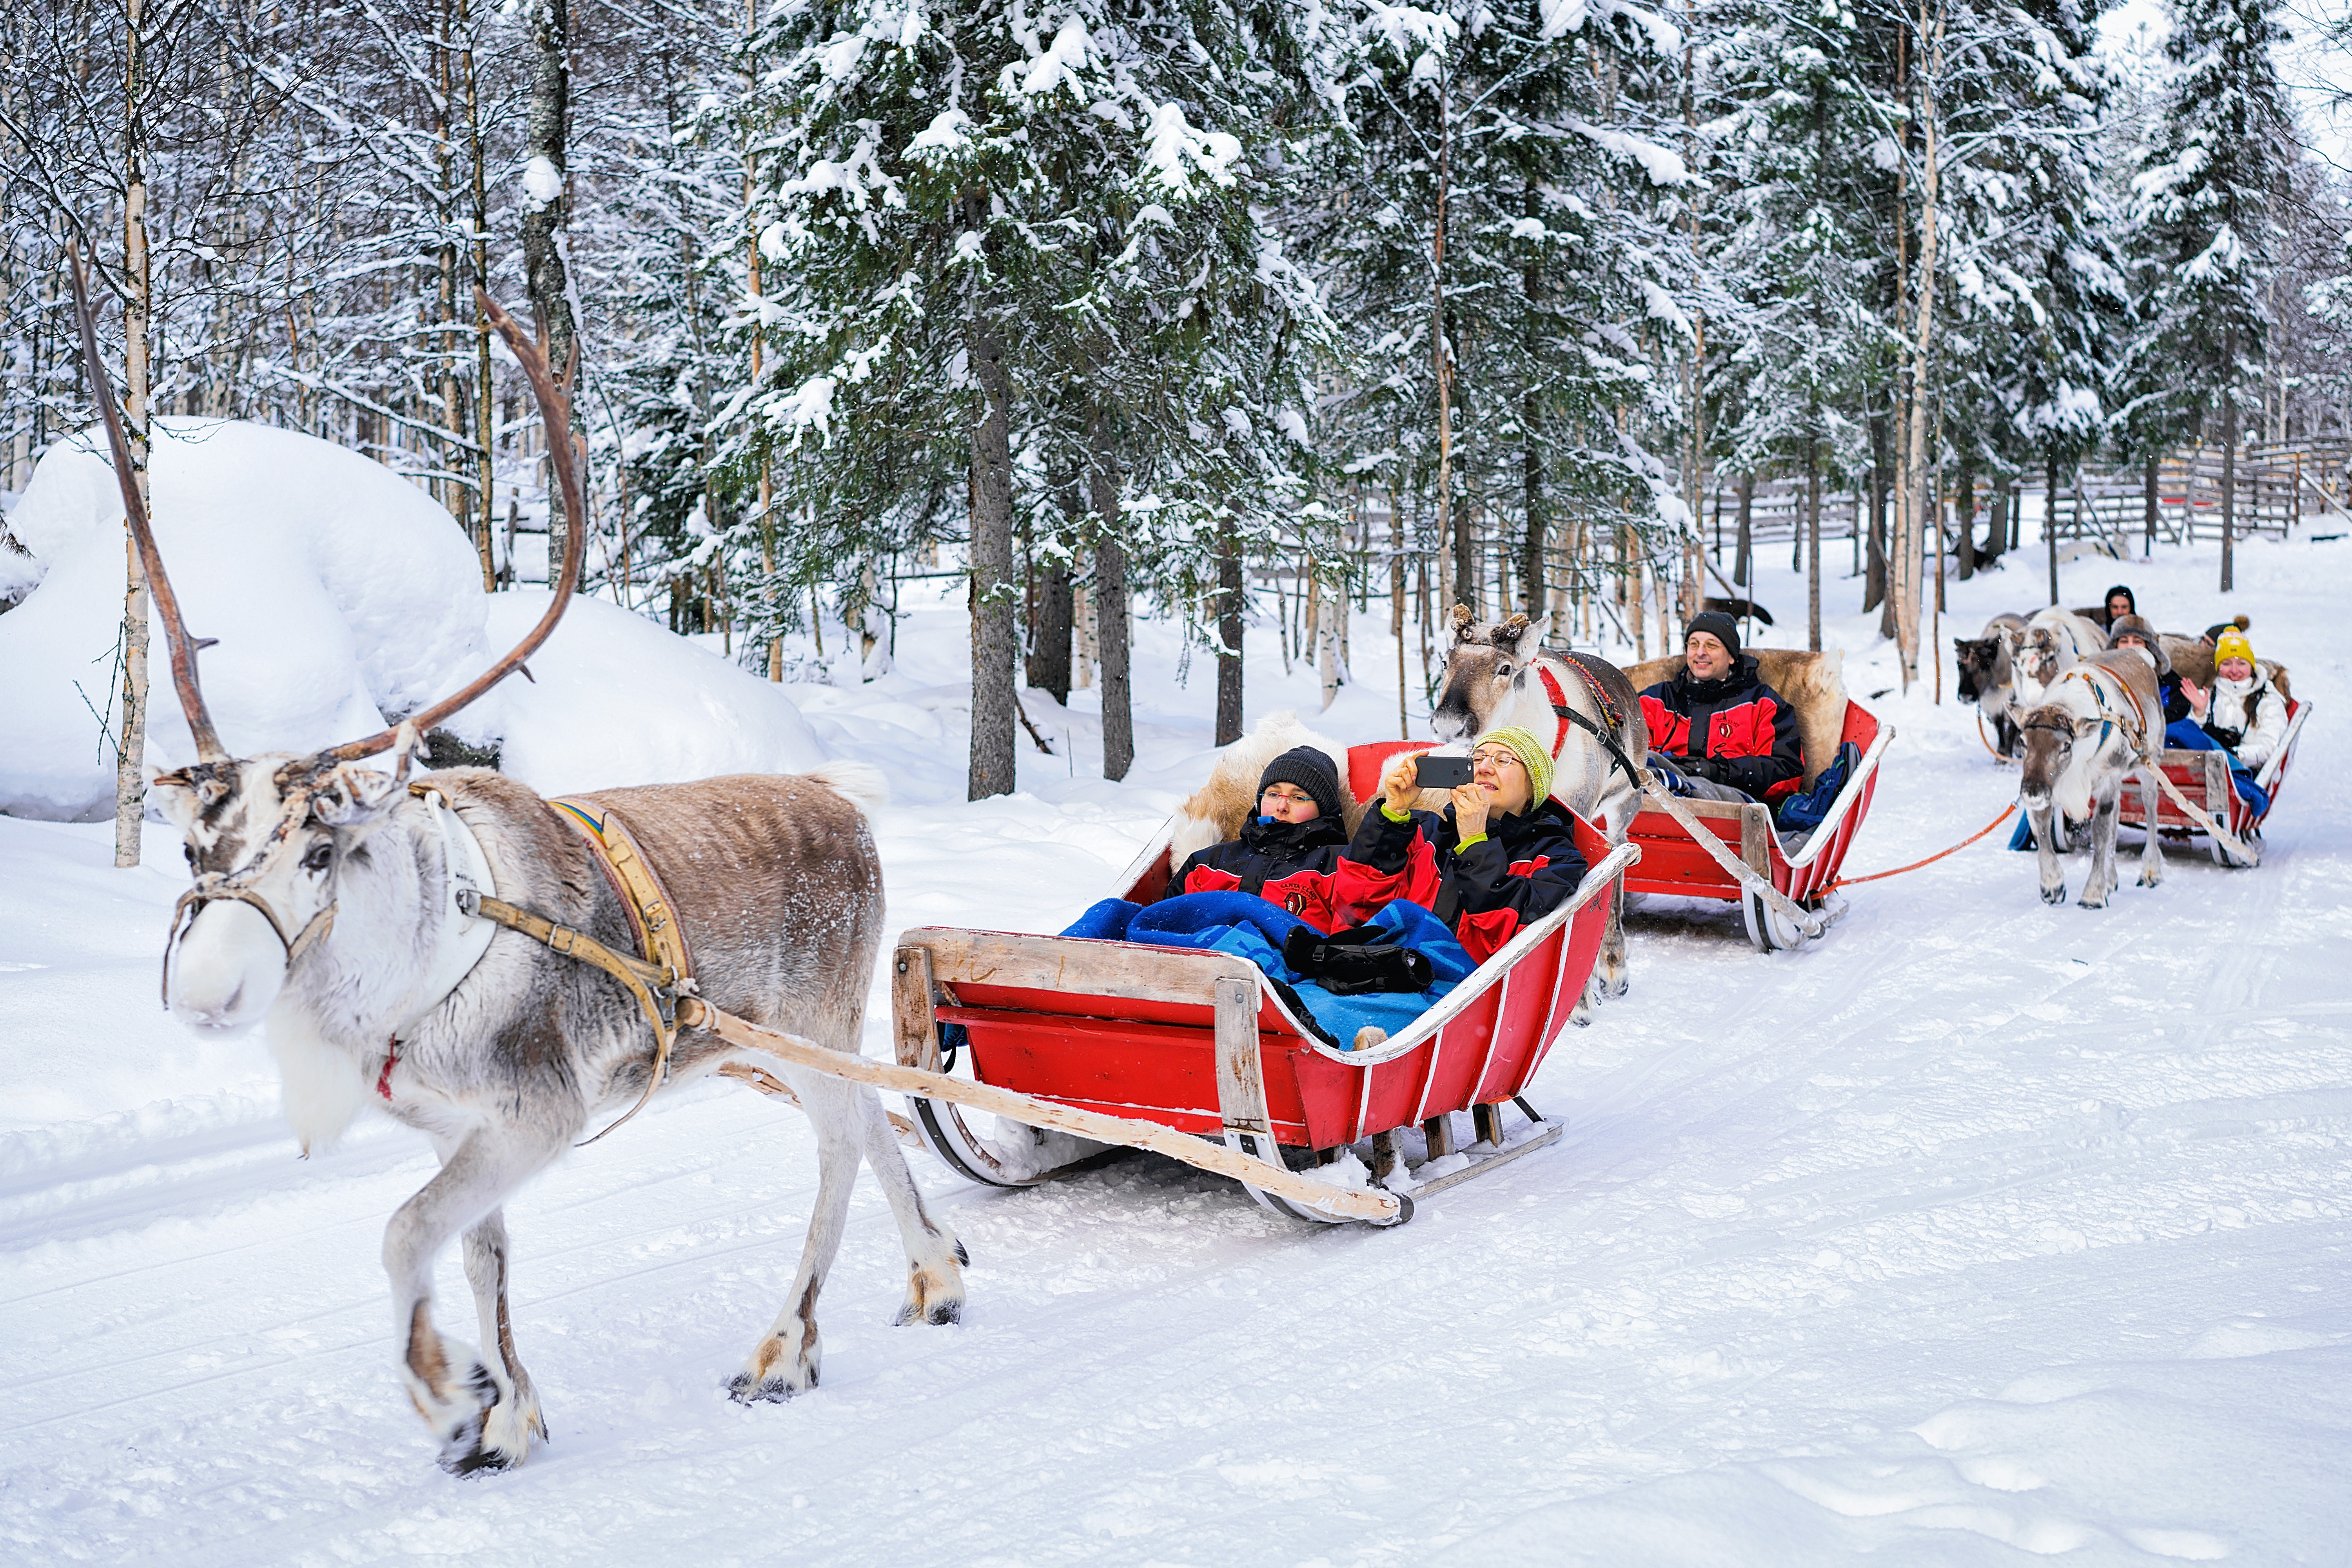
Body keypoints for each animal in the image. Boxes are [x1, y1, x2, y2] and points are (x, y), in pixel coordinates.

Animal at [66, 248, 964, 1477]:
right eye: (197, 845)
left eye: (320, 849)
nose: (204, 992)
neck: (397, 981)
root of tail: (840, 802)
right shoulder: (463, 1127)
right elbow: (481, 1255)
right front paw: (505, 1410)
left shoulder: (537, 1115)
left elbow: (403, 1231)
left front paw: (447, 1392)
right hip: (766, 1045)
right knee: (877, 1119)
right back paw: (937, 1271)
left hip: (810, 1020)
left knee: (838, 1144)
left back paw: (785, 1349)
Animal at [1429, 607, 1647, 1004]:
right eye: (1445, 661)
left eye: (1505, 668)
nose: (1449, 726)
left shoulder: (1584, 818)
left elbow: (1579, 908)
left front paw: (1580, 1002)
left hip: (1626, 803)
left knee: (1621, 858)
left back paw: (1614, 965)